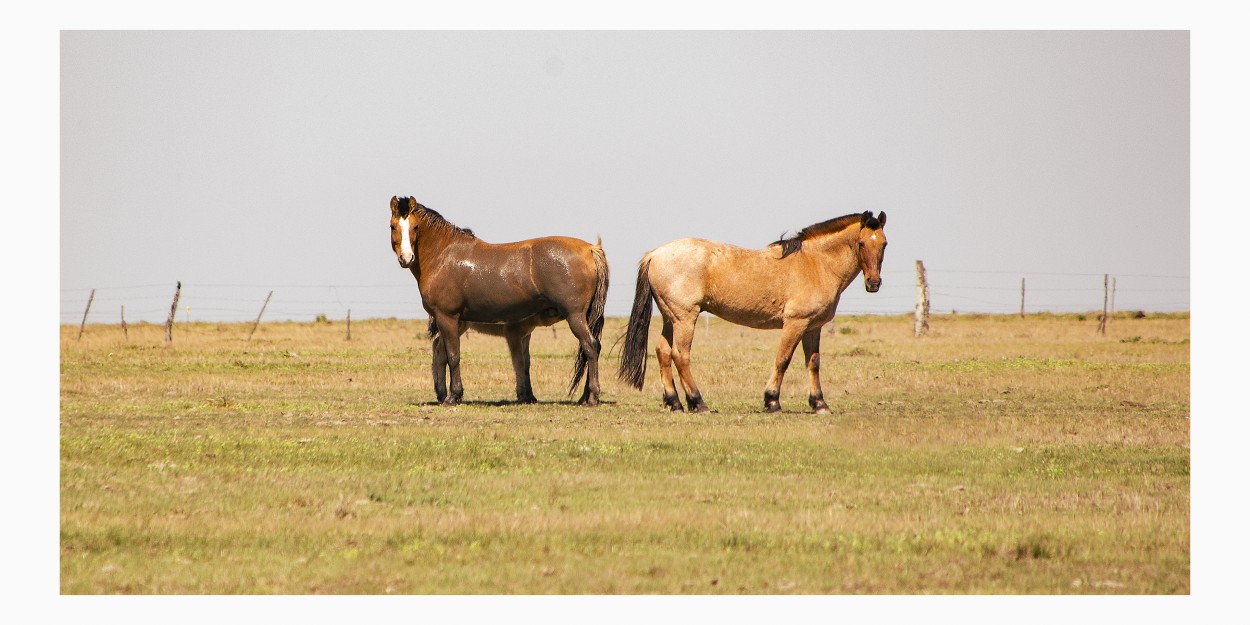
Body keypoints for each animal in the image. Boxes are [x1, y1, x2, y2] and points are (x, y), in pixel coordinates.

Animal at [387, 197, 607, 407]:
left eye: (415, 227)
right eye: (392, 226)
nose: (406, 258)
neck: (444, 255)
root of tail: (590, 249)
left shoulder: (447, 317)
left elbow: (454, 355)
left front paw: (454, 396)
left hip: (575, 316)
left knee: (590, 346)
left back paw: (592, 397)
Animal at [617, 211, 890, 415]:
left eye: (884, 243)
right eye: (862, 243)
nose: (874, 283)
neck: (815, 264)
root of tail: (655, 254)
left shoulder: (813, 327)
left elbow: (813, 363)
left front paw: (819, 404)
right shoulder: (795, 324)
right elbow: (783, 360)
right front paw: (772, 401)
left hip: (670, 318)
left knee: (663, 352)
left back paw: (675, 403)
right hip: (685, 318)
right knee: (680, 355)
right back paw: (698, 402)